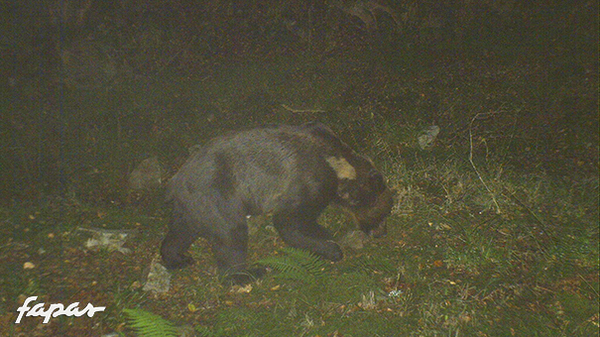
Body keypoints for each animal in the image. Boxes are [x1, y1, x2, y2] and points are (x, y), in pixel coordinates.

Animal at [159, 122, 394, 282]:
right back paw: (248, 272)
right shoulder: (309, 178)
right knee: (231, 234)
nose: (382, 233)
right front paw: (331, 247)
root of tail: (175, 180)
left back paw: (178, 259)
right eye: (384, 213)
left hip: (192, 204)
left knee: (180, 231)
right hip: (218, 193)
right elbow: (289, 220)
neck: (337, 167)